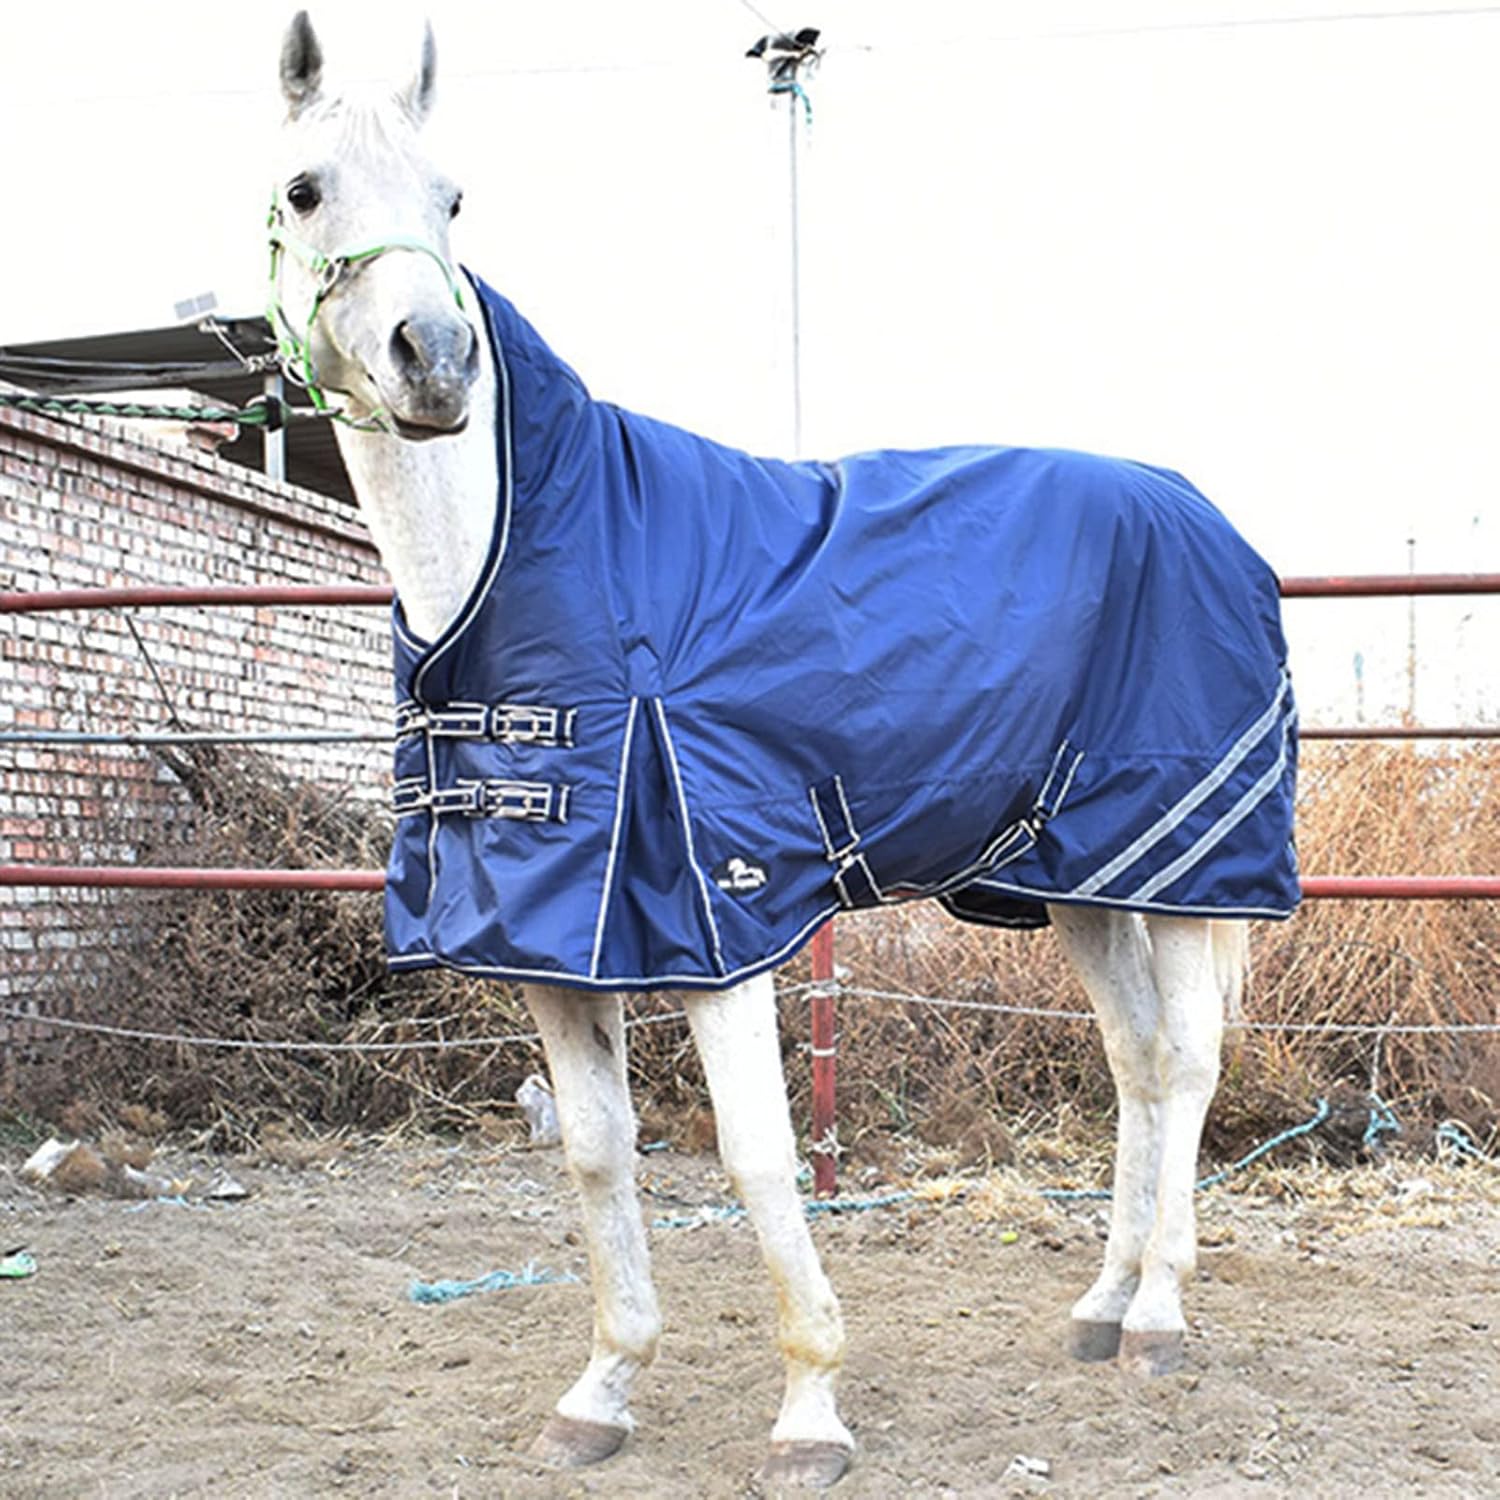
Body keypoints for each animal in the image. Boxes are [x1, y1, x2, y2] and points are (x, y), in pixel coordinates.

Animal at [268, 12, 1298, 1488]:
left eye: (454, 199)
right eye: (305, 190)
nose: (437, 360)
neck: (545, 562)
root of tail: (1213, 524)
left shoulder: (719, 920)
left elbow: (757, 1156)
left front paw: (811, 1407)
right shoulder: (553, 946)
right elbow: (598, 1155)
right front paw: (602, 1391)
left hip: (1182, 878)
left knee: (1193, 1065)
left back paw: (1158, 1315)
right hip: (1076, 886)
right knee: (1140, 1068)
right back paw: (1103, 1306)